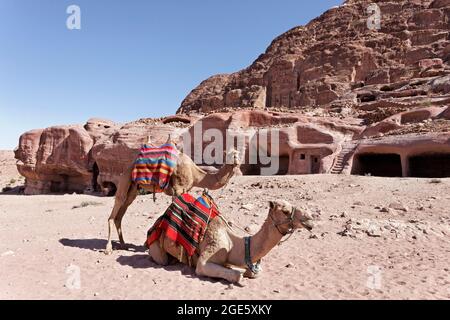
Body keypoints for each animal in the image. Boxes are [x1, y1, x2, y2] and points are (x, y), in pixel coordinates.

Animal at [105, 138, 241, 255]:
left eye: (238, 154)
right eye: (230, 155)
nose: (237, 161)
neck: (195, 174)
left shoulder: (184, 190)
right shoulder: (178, 189)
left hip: (133, 189)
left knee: (120, 214)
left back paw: (123, 244)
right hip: (125, 179)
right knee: (115, 210)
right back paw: (108, 248)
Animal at [148, 199, 312, 284]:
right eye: (285, 211)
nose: (309, 219)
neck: (235, 244)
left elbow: (254, 272)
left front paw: (249, 271)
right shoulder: (208, 257)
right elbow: (235, 275)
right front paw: (241, 275)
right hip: (157, 248)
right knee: (161, 259)